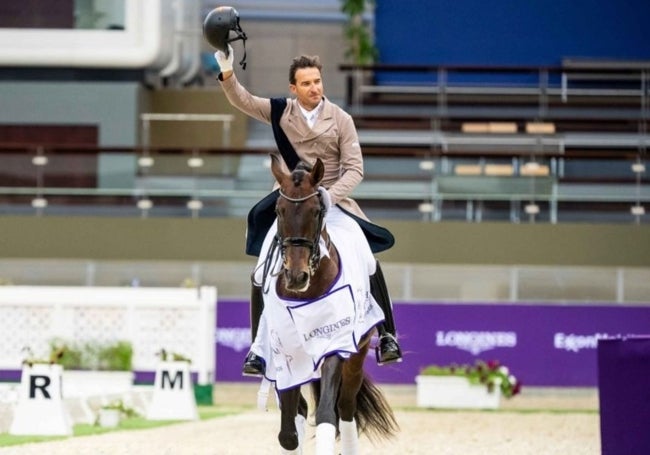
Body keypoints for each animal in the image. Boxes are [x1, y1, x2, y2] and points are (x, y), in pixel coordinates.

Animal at [260, 154, 398, 455]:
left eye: (315, 210)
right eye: (278, 210)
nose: (296, 276)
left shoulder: (335, 343)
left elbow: (326, 416)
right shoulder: (286, 354)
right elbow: (288, 434)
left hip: (356, 356)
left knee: (344, 409)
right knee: (303, 410)